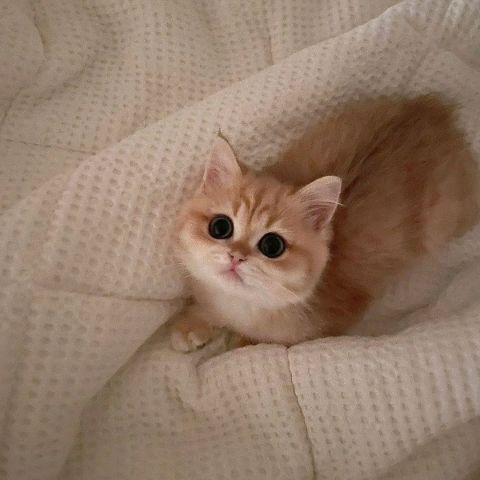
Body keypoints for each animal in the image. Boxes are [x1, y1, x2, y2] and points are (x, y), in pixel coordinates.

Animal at [169, 95, 476, 350]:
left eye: (272, 245)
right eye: (220, 227)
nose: (236, 256)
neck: (242, 305)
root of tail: (436, 113)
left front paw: (240, 342)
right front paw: (193, 324)